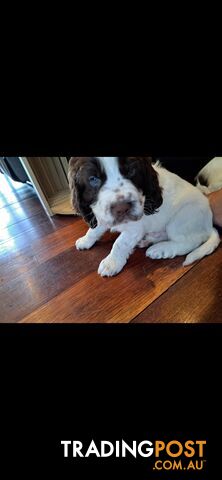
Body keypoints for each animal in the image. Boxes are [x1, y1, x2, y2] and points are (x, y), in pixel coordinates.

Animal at [68, 158, 220, 278]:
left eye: (131, 171)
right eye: (93, 179)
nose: (122, 208)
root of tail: (208, 225)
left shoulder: (134, 228)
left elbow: (119, 243)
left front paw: (111, 263)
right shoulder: (101, 212)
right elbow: (94, 230)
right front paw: (85, 240)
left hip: (181, 219)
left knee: (189, 242)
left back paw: (160, 249)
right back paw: (147, 240)